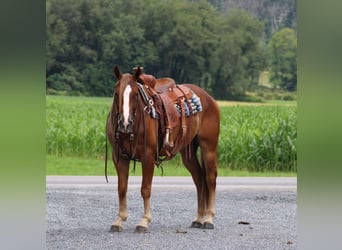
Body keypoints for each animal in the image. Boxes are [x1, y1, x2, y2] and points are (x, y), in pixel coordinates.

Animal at [105, 66, 220, 232]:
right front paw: (119, 220)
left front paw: (144, 221)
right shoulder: (119, 157)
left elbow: (145, 189)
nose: (125, 123)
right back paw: (198, 218)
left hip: (209, 147)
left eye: (135, 94)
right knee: (199, 179)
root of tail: (208, 98)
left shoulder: (148, 156)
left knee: (210, 179)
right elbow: (122, 188)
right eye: (116, 93)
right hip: (188, 153)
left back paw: (209, 218)